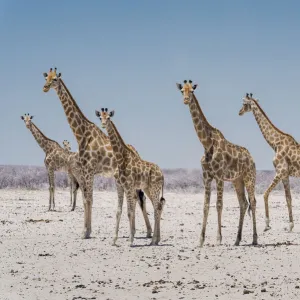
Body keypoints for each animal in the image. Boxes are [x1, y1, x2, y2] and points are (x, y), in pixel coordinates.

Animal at [41, 67, 152, 240]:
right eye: (46, 78)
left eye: (55, 79)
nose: (45, 88)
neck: (81, 134)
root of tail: (136, 152)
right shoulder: (86, 171)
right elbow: (86, 199)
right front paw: (88, 230)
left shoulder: (88, 170)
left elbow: (88, 199)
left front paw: (85, 232)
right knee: (139, 198)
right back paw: (145, 232)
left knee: (140, 198)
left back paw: (144, 232)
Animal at [95, 108, 165, 246]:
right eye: (100, 117)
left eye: (109, 118)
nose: (103, 125)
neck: (121, 159)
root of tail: (162, 174)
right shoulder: (119, 186)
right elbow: (119, 211)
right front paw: (114, 240)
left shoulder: (128, 186)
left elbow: (129, 211)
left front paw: (131, 241)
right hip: (148, 189)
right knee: (157, 208)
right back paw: (156, 239)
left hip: (154, 189)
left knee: (157, 208)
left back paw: (153, 240)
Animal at [176, 79, 258, 246]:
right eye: (182, 91)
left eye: (192, 91)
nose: (186, 100)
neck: (207, 144)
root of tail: (252, 158)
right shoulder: (206, 177)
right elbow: (206, 206)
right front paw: (201, 240)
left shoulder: (219, 176)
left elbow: (219, 205)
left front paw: (219, 238)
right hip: (237, 180)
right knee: (243, 203)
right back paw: (237, 240)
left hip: (249, 177)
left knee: (252, 202)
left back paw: (254, 239)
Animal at [239, 92, 298, 231]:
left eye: (244, 104)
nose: (239, 112)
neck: (275, 144)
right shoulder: (285, 174)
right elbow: (288, 198)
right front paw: (290, 226)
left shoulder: (280, 171)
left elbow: (265, 194)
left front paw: (266, 224)